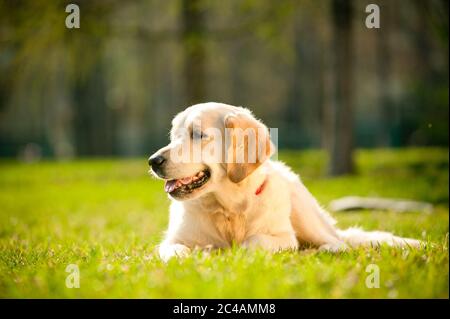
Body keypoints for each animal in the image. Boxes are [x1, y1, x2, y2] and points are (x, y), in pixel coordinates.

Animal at [149, 103, 420, 262]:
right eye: (173, 135)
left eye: (197, 134)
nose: (153, 161)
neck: (229, 208)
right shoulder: (171, 241)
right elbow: (174, 251)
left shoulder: (283, 237)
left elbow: (252, 242)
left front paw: (231, 252)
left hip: (307, 216)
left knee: (338, 241)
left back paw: (326, 249)